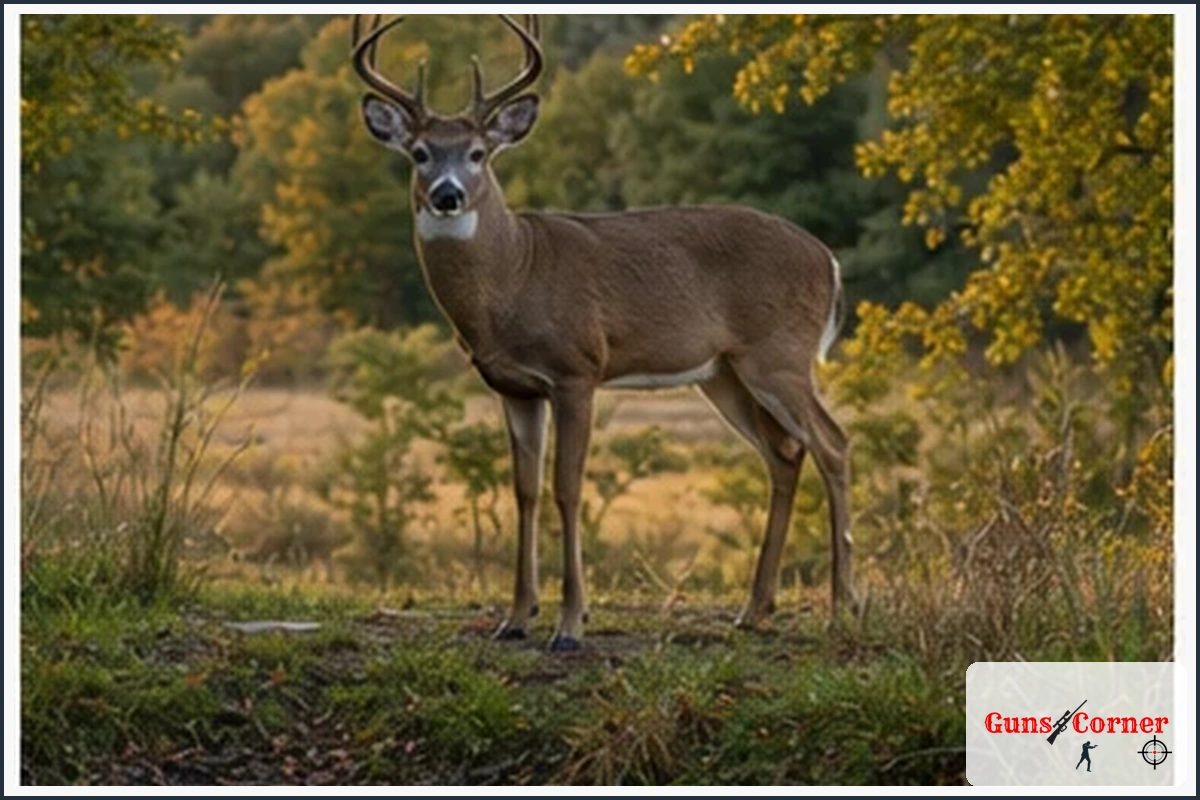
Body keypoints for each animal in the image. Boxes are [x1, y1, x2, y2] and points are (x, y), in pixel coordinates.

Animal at [351, 14, 859, 651]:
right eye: (419, 153)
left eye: (477, 153)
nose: (448, 194)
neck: (514, 274)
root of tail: (829, 260)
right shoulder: (514, 387)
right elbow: (525, 490)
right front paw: (515, 618)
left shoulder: (577, 369)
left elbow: (567, 487)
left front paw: (569, 625)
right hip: (724, 373)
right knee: (785, 454)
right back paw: (754, 610)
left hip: (780, 355)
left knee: (832, 443)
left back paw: (843, 608)